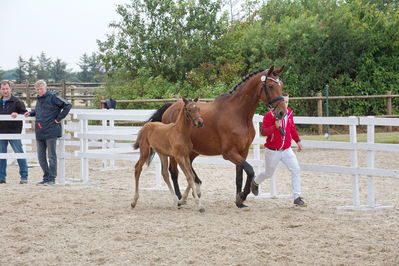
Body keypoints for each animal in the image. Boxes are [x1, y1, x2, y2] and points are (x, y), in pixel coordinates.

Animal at [148, 66, 286, 208]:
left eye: (281, 85)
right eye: (270, 86)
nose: (282, 112)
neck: (238, 114)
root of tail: (170, 107)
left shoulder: (243, 151)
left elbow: (239, 176)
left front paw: (239, 201)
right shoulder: (229, 153)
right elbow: (250, 170)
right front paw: (243, 195)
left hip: (193, 150)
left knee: (188, 166)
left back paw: (196, 187)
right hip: (175, 151)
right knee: (174, 171)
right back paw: (181, 198)